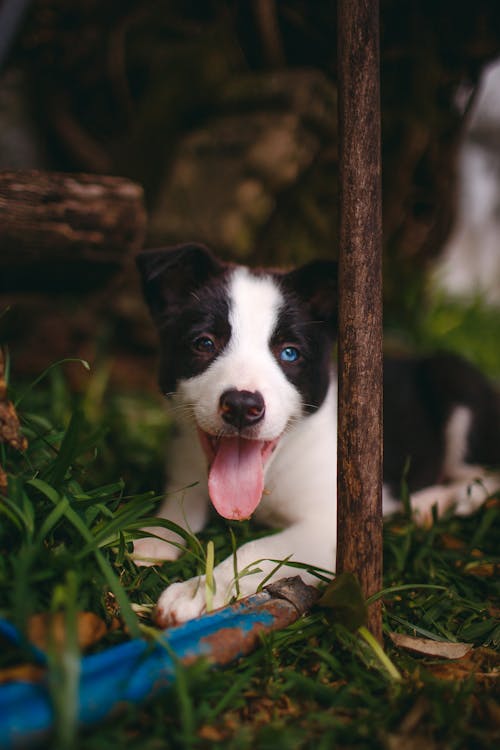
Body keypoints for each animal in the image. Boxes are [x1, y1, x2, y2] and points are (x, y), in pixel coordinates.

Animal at [135, 244, 500, 624]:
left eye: (290, 353)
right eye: (204, 343)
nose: (241, 405)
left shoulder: (335, 528)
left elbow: (257, 548)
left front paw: (197, 591)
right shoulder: (185, 459)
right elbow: (181, 502)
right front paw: (156, 532)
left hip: (455, 381)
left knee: (486, 473)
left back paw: (437, 501)